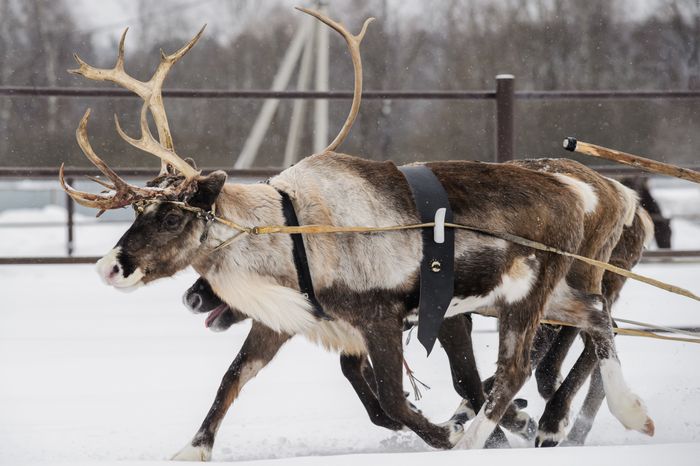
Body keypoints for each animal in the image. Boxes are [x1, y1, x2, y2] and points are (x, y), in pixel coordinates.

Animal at [59, 7, 655, 460]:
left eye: (171, 215)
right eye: (137, 213)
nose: (109, 266)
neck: (291, 235)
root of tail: (590, 193)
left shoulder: (383, 316)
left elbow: (395, 397)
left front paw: (448, 432)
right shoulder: (283, 320)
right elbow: (232, 378)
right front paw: (193, 448)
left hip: (525, 296)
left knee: (515, 369)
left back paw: (490, 437)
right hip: (549, 292)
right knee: (597, 318)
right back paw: (623, 416)